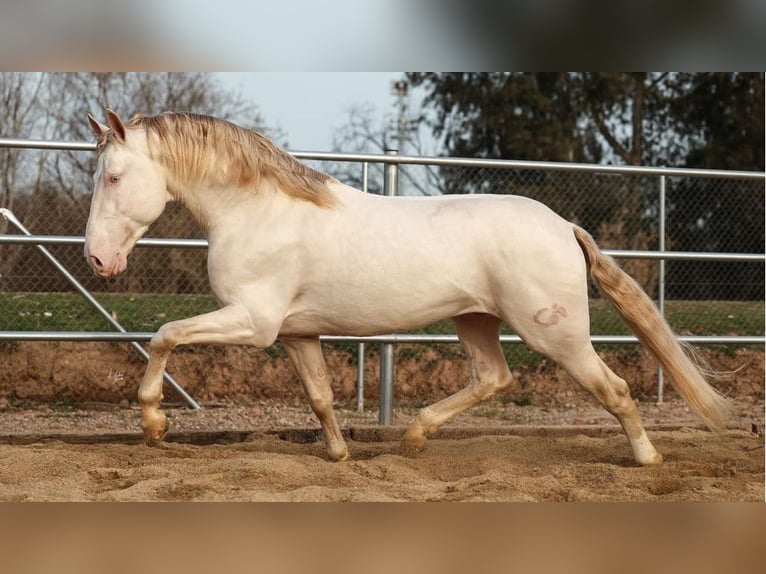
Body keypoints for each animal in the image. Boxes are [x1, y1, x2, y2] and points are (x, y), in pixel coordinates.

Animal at [84, 109, 732, 468]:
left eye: (113, 177)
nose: (96, 259)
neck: (259, 212)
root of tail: (564, 227)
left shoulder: (254, 321)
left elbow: (165, 336)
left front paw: (154, 426)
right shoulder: (296, 333)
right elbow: (320, 397)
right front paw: (340, 455)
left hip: (557, 334)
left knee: (614, 388)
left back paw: (647, 458)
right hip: (474, 320)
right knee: (494, 378)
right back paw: (416, 438)